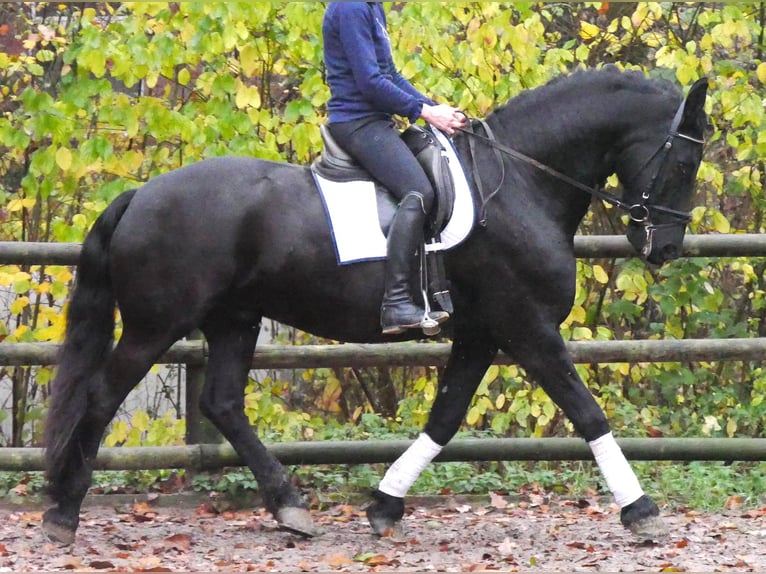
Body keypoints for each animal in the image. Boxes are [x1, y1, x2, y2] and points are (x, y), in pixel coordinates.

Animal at [42, 67, 708, 545]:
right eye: (683, 159)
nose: (666, 247)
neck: (521, 184)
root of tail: (140, 195)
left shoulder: (481, 334)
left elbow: (444, 420)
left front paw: (385, 505)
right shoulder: (527, 328)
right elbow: (587, 412)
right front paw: (641, 510)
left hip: (234, 319)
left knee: (222, 402)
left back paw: (290, 508)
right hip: (156, 325)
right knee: (101, 398)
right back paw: (63, 514)